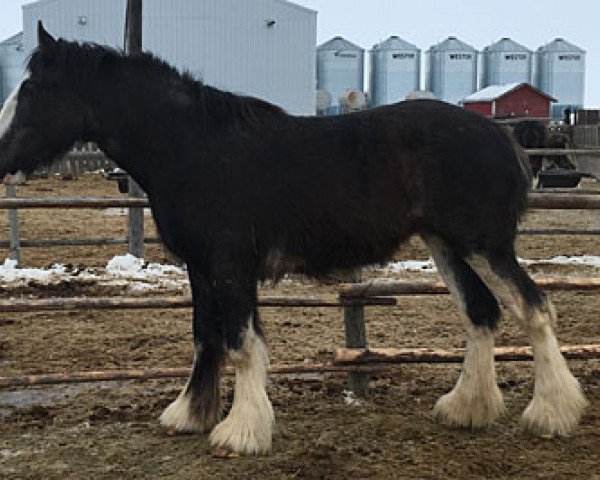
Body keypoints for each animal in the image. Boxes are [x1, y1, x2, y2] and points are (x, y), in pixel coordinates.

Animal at [0, 23, 584, 458]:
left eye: (32, 89)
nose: (3, 159)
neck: (193, 148)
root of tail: (502, 138)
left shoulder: (230, 264)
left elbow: (239, 343)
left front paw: (241, 432)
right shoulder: (201, 266)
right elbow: (205, 337)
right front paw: (191, 414)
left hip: (486, 244)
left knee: (534, 307)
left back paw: (552, 414)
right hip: (445, 244)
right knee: (481, 312)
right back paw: (466, 408)